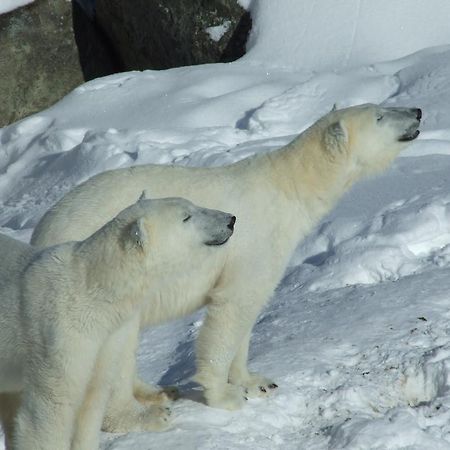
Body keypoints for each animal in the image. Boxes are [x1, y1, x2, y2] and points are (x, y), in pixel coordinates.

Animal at [0, 197, 236, 450]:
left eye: (192, 205)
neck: (91, 291)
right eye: (186, 216)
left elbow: (91, 401)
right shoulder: (57, 337)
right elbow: (49, 413)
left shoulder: (105, 339)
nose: (231, 219)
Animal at [31, 105, 422, 422]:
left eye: (383, 106)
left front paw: (256, 382)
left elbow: (250, 314)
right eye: (380, 115)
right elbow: (233, 307)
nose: (417, 111)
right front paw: (225, 397)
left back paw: (157, 391)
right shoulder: (256, 240)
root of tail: (40, 234)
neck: (288, 187)